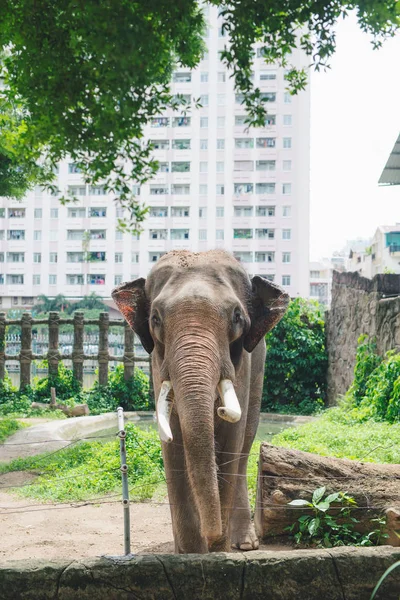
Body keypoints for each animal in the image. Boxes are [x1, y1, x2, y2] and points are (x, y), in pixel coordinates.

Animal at [111, 248, 290, 552]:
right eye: (155, 318)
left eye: (237, 317)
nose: (213, 536)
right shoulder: (157, 365)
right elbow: (172, 441)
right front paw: (190, 553)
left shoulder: (244, 368)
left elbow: (231, 439)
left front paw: (217, 550)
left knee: (245, 444)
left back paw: (244, 544)